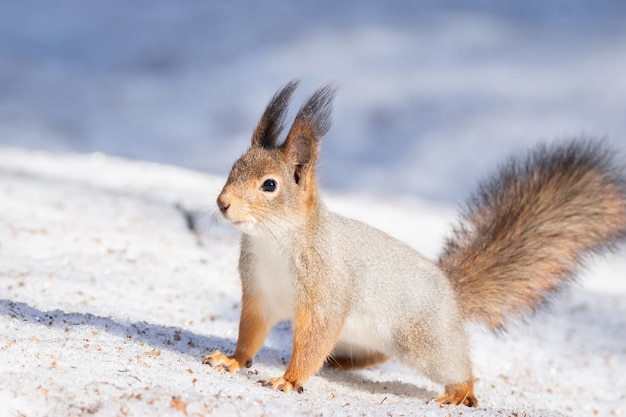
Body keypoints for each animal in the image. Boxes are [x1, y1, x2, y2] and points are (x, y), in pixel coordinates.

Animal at [201, 80, 624, 406]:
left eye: (270, 185)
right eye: (233, 168)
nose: (222, 203)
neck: (276, 241)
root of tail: (450, 290)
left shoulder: (325, 289)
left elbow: (314, 338)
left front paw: (289, 380)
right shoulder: (259, 292)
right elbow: (251, 331)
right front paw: (233, 360)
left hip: (426, 341)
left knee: (457, 366)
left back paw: (459, 392)